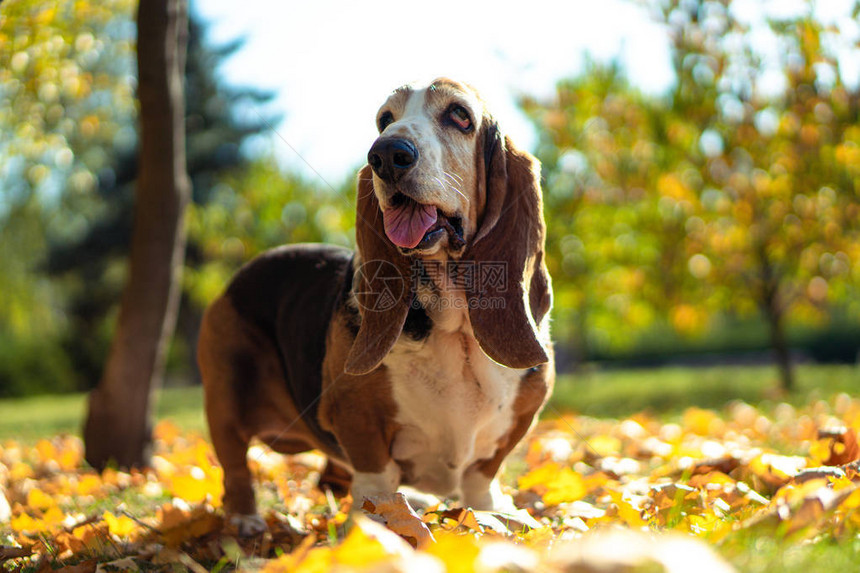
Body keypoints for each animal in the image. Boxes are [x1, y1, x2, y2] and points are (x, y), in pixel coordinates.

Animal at [198, 78, 556, 536]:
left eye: (459, 115)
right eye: (384, 120)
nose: (386, 154)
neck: (452, 327)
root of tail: (239, 276)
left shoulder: (519, 416)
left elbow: (482, 477)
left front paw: (494, 514)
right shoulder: (357, 417)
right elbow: (376, 476)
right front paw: (377, 520)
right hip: (225, 399)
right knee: (235, 468)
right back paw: (246, 520)